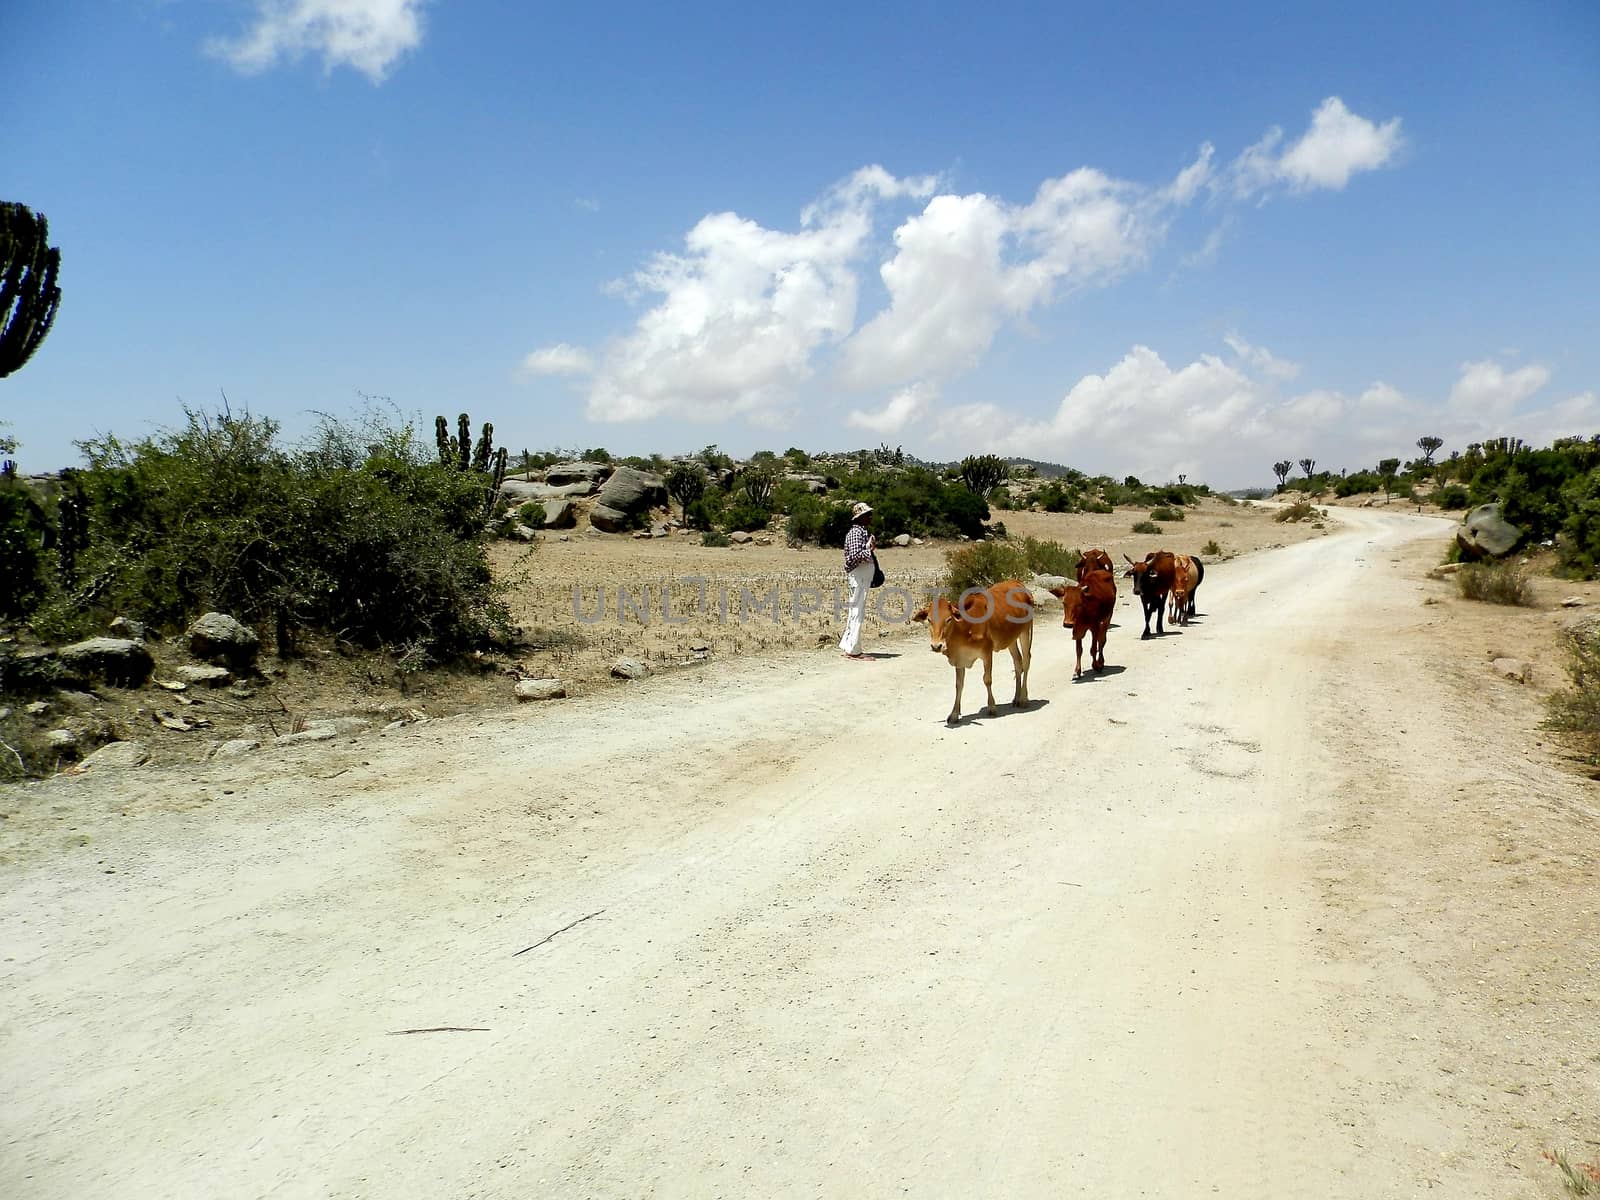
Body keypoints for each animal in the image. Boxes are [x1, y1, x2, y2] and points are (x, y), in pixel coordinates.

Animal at [915, 579, 1036, 723]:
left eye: (948, 619)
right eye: (929, 620)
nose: (936, 646)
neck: (965, 628)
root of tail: (1017, 583)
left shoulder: (987, 653)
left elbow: (987, 679)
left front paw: (992, 707)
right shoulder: (959, 659)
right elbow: (959, 685)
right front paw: (954, 714)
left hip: (1025, 632)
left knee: (1026, 661)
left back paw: (1023, 699)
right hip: (1011, 639)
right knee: (1018, 662)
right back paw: (1016, 698)